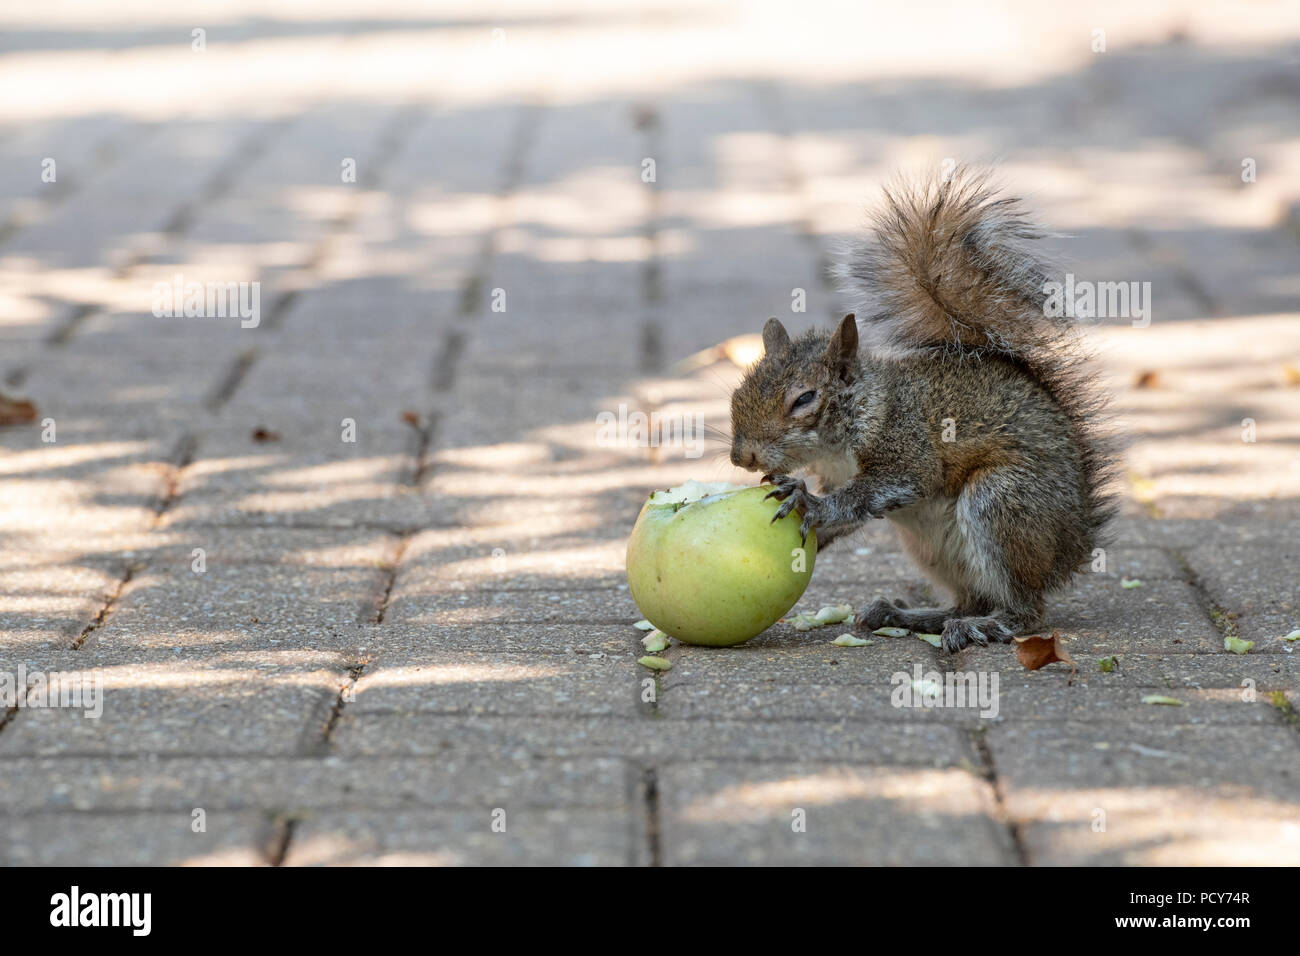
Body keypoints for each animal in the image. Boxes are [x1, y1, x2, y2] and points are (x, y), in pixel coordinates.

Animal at [728, 167, 1116, 652]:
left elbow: (887, 486)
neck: (863, 412)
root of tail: (1075, 545)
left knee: (1024, 611)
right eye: (738, 392)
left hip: (1003, 503)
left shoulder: (907, 446)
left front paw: (805, 500)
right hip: (934, 550)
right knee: (970, 599)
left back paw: (982, 627)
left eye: (804, 399)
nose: (742, 456)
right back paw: (909, 615)